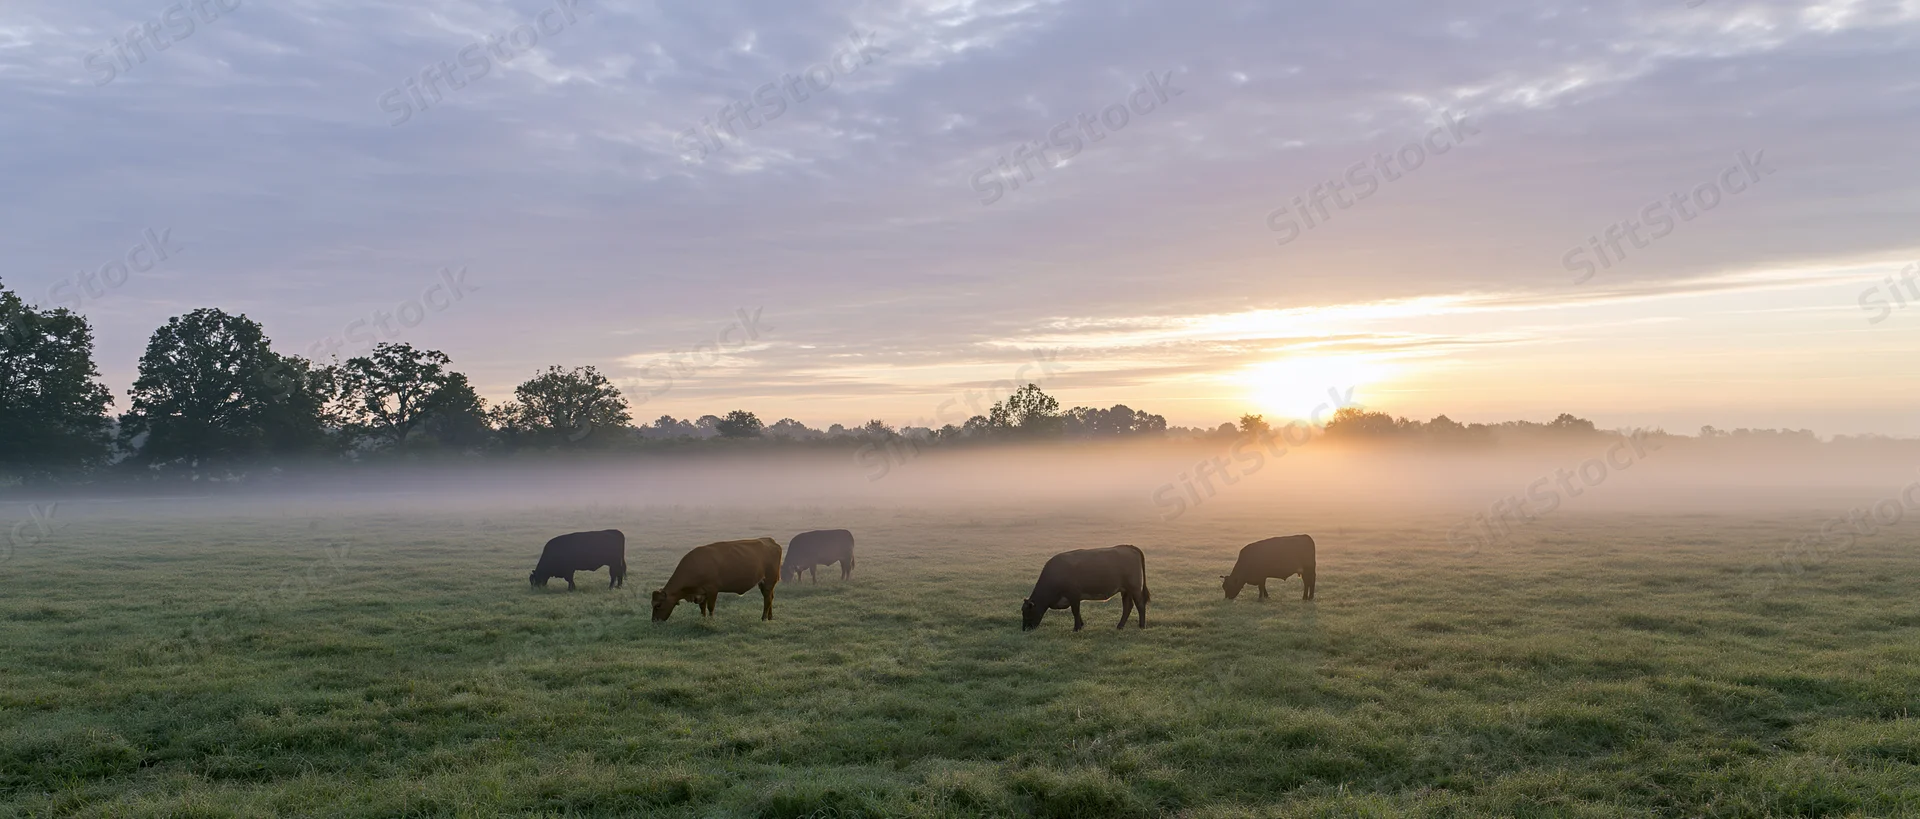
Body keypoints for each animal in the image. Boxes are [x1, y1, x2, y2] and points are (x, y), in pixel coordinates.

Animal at [651, 538, 782, 622]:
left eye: (658, 605)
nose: (654, 621)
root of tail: (770, 540)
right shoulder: (701, 592)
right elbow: (702, 607)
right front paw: (703, 619)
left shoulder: (712, 590)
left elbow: (710, 607)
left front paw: (711, 620)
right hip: (763, 583)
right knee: (770, 598)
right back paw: (770, 617)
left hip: (769, 581)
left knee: (767, 599)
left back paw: (764, 618)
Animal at [1021, 545, 1150, 632]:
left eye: (1027, 613)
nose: (1025, 629)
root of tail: (1128, 547)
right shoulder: (1074, 598)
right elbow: (1077, 612)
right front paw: (1081, 625)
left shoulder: (1073, 595)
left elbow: (1075, 611)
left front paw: (1076, 628)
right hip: (1125, 590)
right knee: (1127, 606)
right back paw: (1120, 626)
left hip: (1134, 588)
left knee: (1140, 605)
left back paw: (1141, 626)